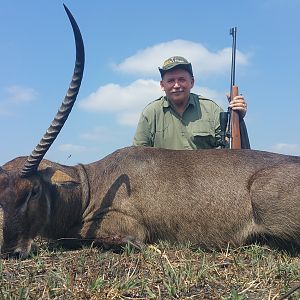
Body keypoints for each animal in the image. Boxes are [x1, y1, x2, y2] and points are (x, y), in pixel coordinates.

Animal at [0, 5, 300, 258]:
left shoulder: (126, 224)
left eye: (33, 191)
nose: (11, 252)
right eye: (2, 199)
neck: (91, 185)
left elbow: (81, 236)